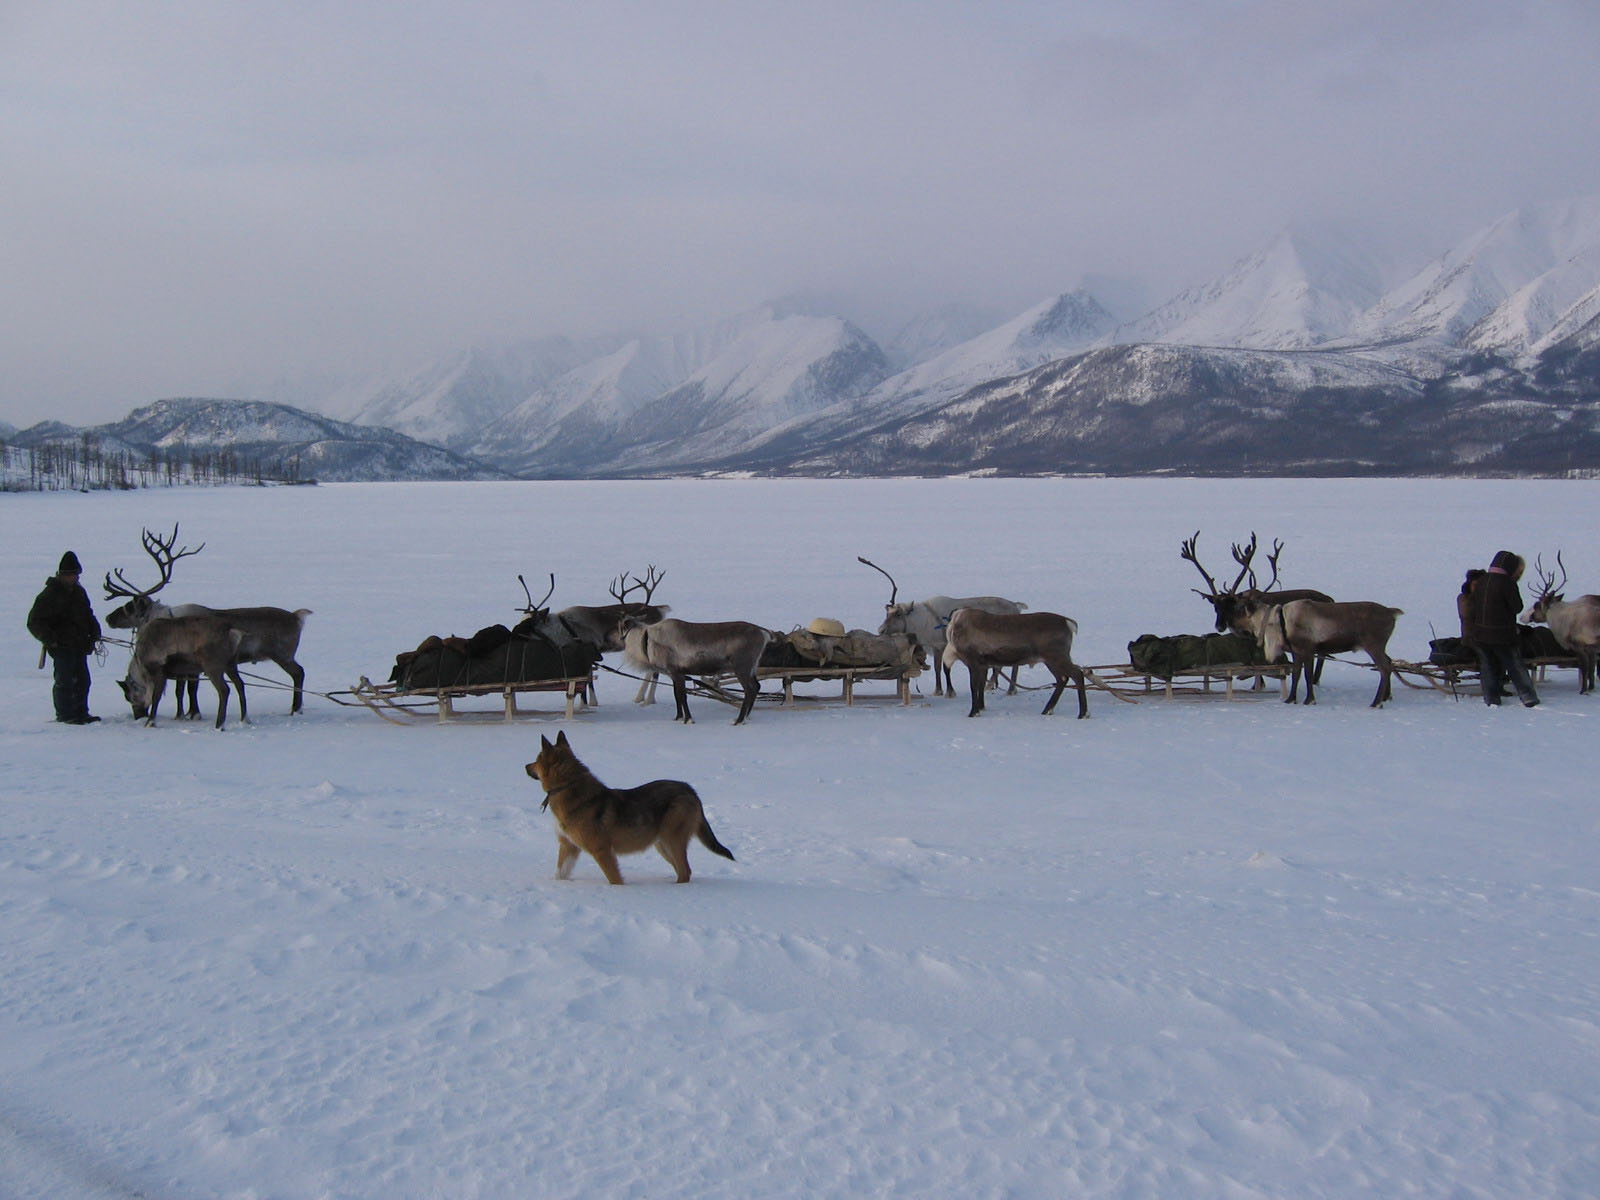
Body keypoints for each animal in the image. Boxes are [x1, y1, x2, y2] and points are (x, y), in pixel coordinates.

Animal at [524, 729, 736, 889]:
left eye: (536, 759)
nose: (525, 766)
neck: (568, 787)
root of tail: (690, 789)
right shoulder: (568, 846)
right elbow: (560, 873)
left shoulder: (602, 850)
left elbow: (615, 880)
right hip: (662, 844)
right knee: (683, 870)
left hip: (672, 840)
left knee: (685, 871)